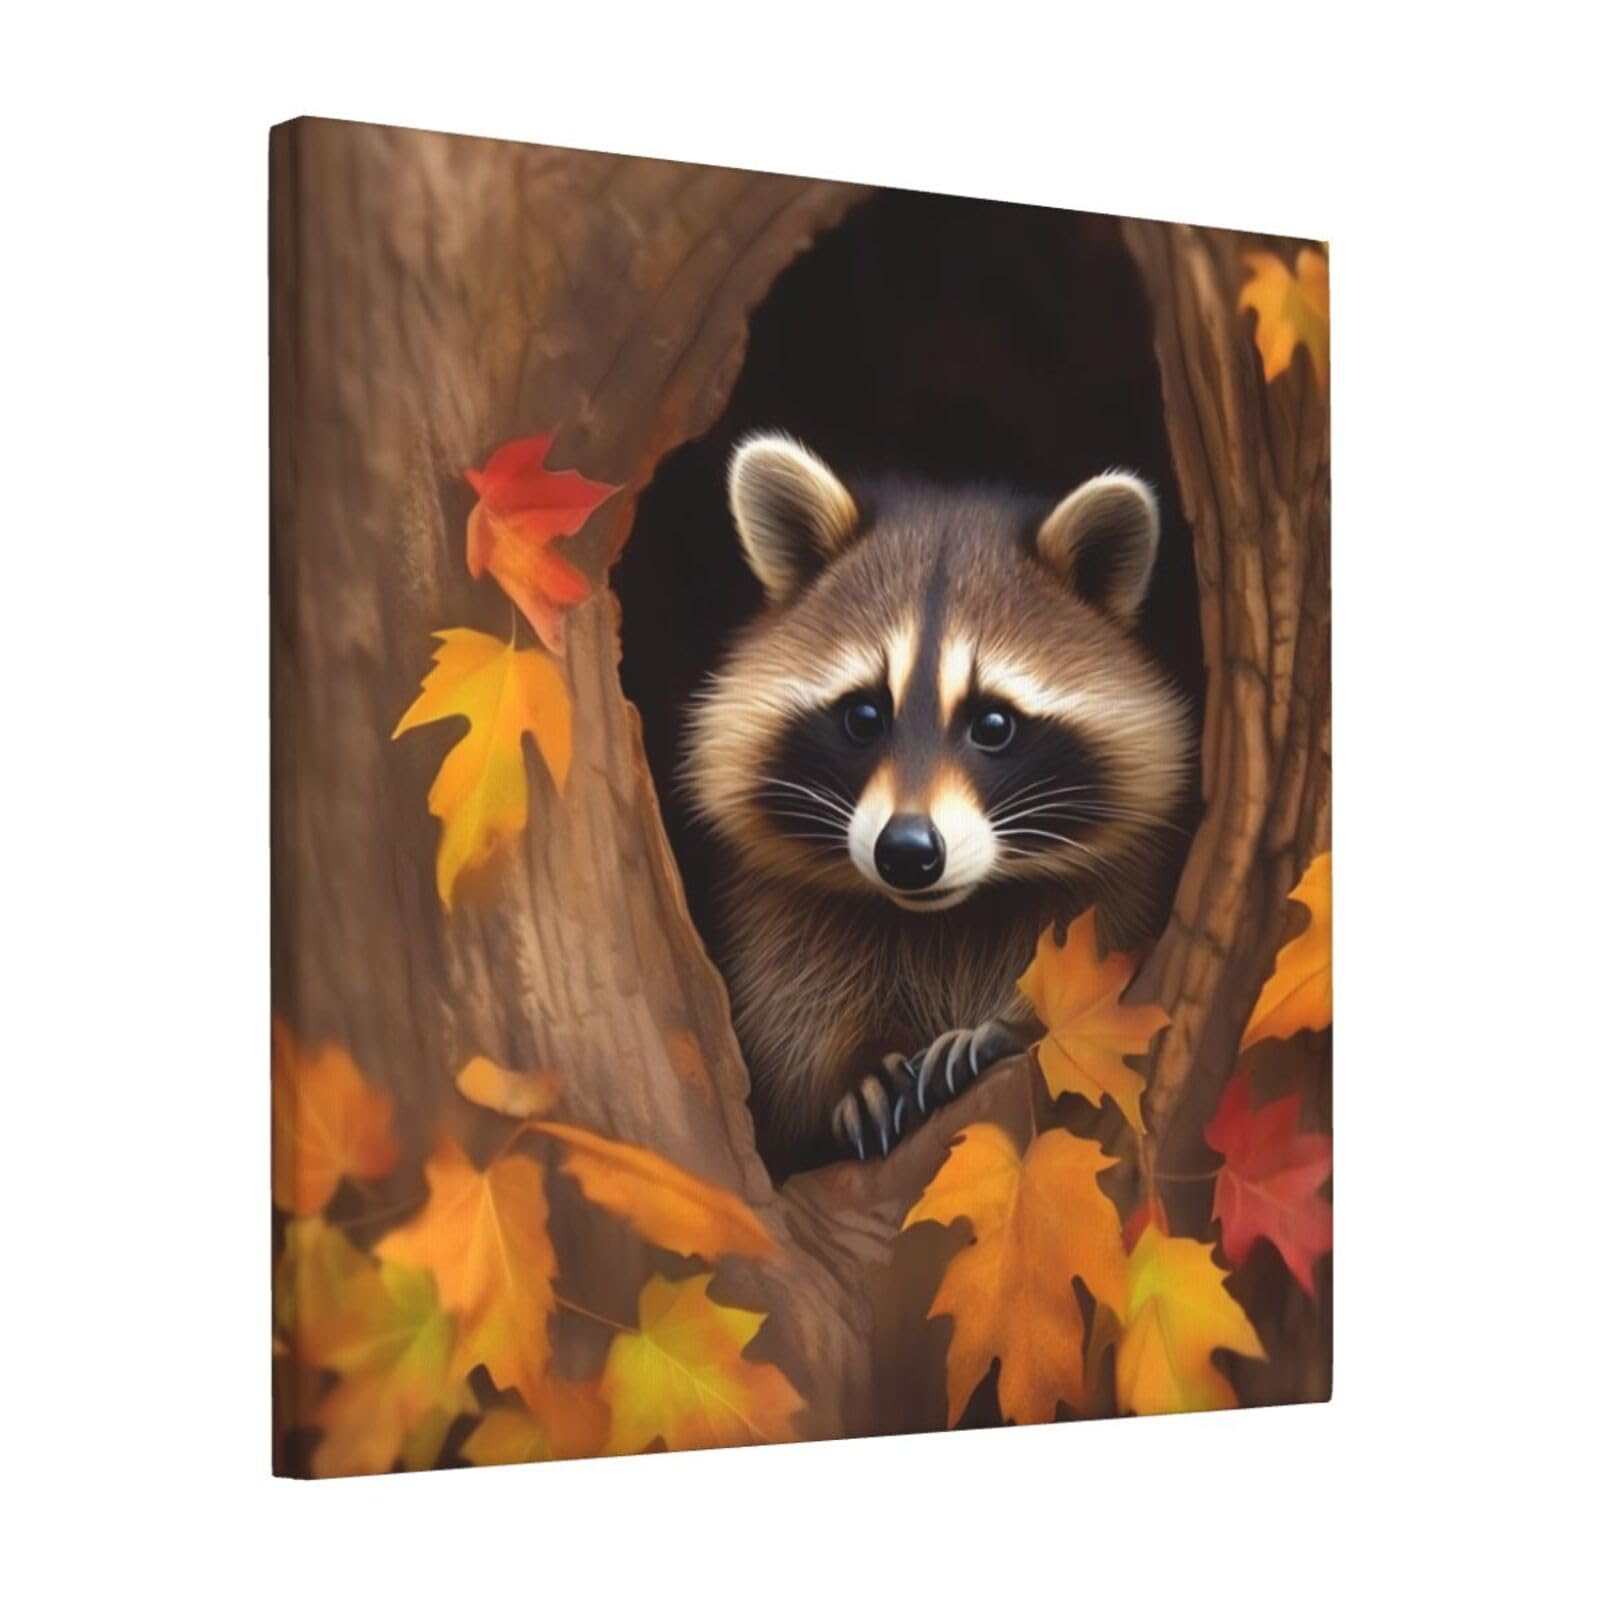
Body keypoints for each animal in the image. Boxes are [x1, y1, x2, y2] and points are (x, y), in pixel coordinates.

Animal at [684, 433, 1191, 1171]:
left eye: (993, 724)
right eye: (864, 716)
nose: (907, 853)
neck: (946, 915)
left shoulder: (1124, 883)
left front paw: (1011, 1027)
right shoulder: (778, 908)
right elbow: (790, 1015)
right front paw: (855, 1066)